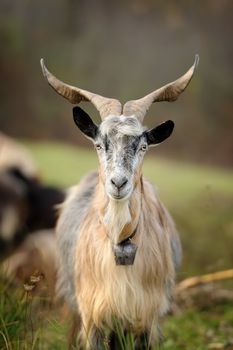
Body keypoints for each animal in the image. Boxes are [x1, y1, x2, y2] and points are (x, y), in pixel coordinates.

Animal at [40, 54, 198, 348]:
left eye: (143, 146)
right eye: (99, 144)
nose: (118, 183)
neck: (120, 241)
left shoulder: (147, 316)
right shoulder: (93, 313)